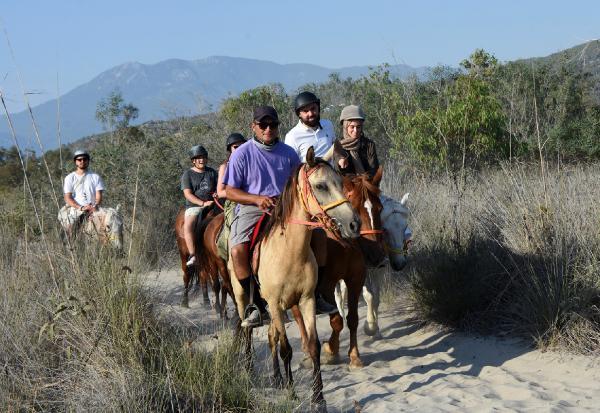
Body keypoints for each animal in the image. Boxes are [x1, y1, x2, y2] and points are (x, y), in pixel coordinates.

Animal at [229, 149, 360, 412]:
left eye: (341, 183)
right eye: (320, 185)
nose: (354, 224)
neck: (288, 251)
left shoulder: (305, 300)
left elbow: (313, 346)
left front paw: (318, 398)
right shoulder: (276, 304)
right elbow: (286, 349)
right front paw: (291, 392)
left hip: (274, 309)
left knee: (271, 336)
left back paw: (278, 378)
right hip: (244, 298)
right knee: (248, 330)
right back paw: (249, 368)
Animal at [332, 192, 412, 336]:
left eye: (404, 227)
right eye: (384, 229)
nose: (400, 264)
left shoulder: (379, 268)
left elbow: (376, 297)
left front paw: (377, 327)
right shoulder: (363, 269)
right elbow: (368, 296)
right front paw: (370, 327)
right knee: (338, 294)